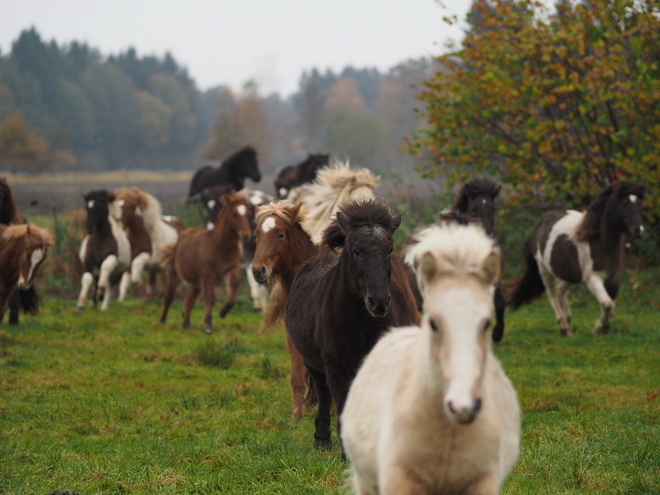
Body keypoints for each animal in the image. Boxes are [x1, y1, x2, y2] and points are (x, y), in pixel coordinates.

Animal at [160, 193, 253, 334]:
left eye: (247, 214)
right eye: (234, 214)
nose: (245, 235)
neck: (219, 246)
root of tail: (182, 232)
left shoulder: (229, 269)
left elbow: (233, 288)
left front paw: (223, 312)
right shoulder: (208, 273)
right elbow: (209, 297)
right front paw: (208, 325)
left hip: (196, 282)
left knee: (189, 300)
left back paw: (186, 324)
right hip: (174, 273)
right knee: (169, 296)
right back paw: (162, 321)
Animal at [286, 201, 416, 454]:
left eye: (389, 250)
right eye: (356, 250)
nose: (379, 302)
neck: (360, 323)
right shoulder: (337, 370)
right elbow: (342, 406)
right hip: (314, 366)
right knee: (324, 396)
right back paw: (322, 440)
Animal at [510, 181, 644, 338]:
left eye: (639, 204)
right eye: (624, 203)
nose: (639, 231)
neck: (599, 244)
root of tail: (541, 221)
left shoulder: (614, 280)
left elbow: (610, 305)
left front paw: (602, 327)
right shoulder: (592, 279)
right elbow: (606, 304)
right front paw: (600, 328)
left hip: (568, 274)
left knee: (559, 290)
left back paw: (568, 320)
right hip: (544, 269)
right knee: (552, 294)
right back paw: (564, 328)